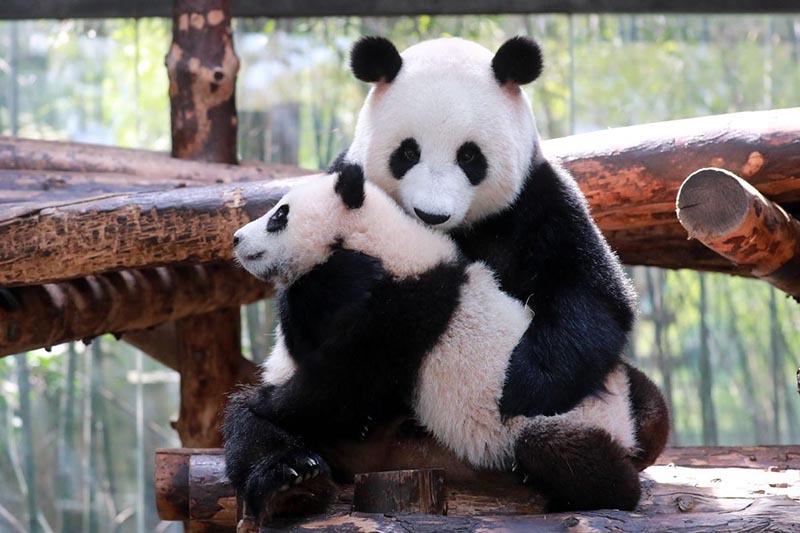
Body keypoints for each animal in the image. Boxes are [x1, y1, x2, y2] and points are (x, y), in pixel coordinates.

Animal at [224, 165, 666, 518]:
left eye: (279, 215)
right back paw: (292, 485)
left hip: (564, 420)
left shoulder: (403, 310)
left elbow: (345, 386)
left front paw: (269, 398)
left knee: (554, 448)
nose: (236, 239)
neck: (376, 239)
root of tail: (623, 431)